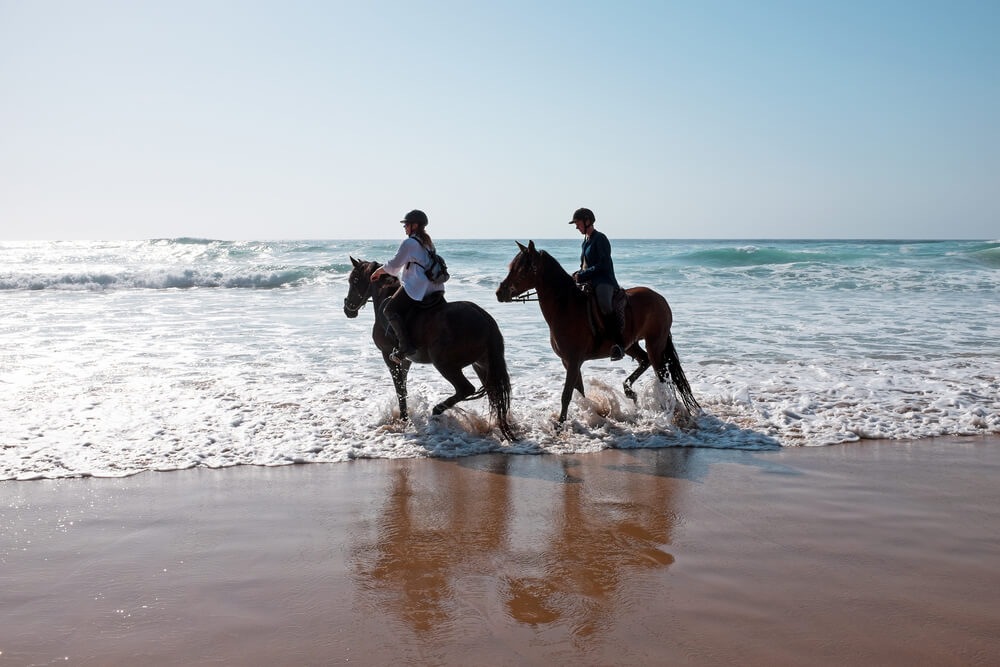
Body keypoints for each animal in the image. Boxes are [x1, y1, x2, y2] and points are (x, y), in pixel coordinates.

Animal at [346, 258, 516, 440]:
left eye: (353, 280)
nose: (347, 308)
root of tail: (485, 319)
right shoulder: (405, 360)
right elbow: (403, 388)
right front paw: (404, 417)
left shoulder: (387, 354)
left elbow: (399, 388)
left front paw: (404, 419)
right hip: (482, 365)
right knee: (494, 394)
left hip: (444, 363)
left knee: (466, 388)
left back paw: (437, 410)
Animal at [496, 241, 700, 422]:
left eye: (522, 269)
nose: (499, 292)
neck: (565, 305)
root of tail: (660, 299)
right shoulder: (568, 362)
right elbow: (579, 392)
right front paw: (590, 413)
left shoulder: (573, 360)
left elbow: (566, 394)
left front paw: (561, 424)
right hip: (630, 345)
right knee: (644, 361)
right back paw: (629, 391)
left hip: (655, 344)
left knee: (662, 378)